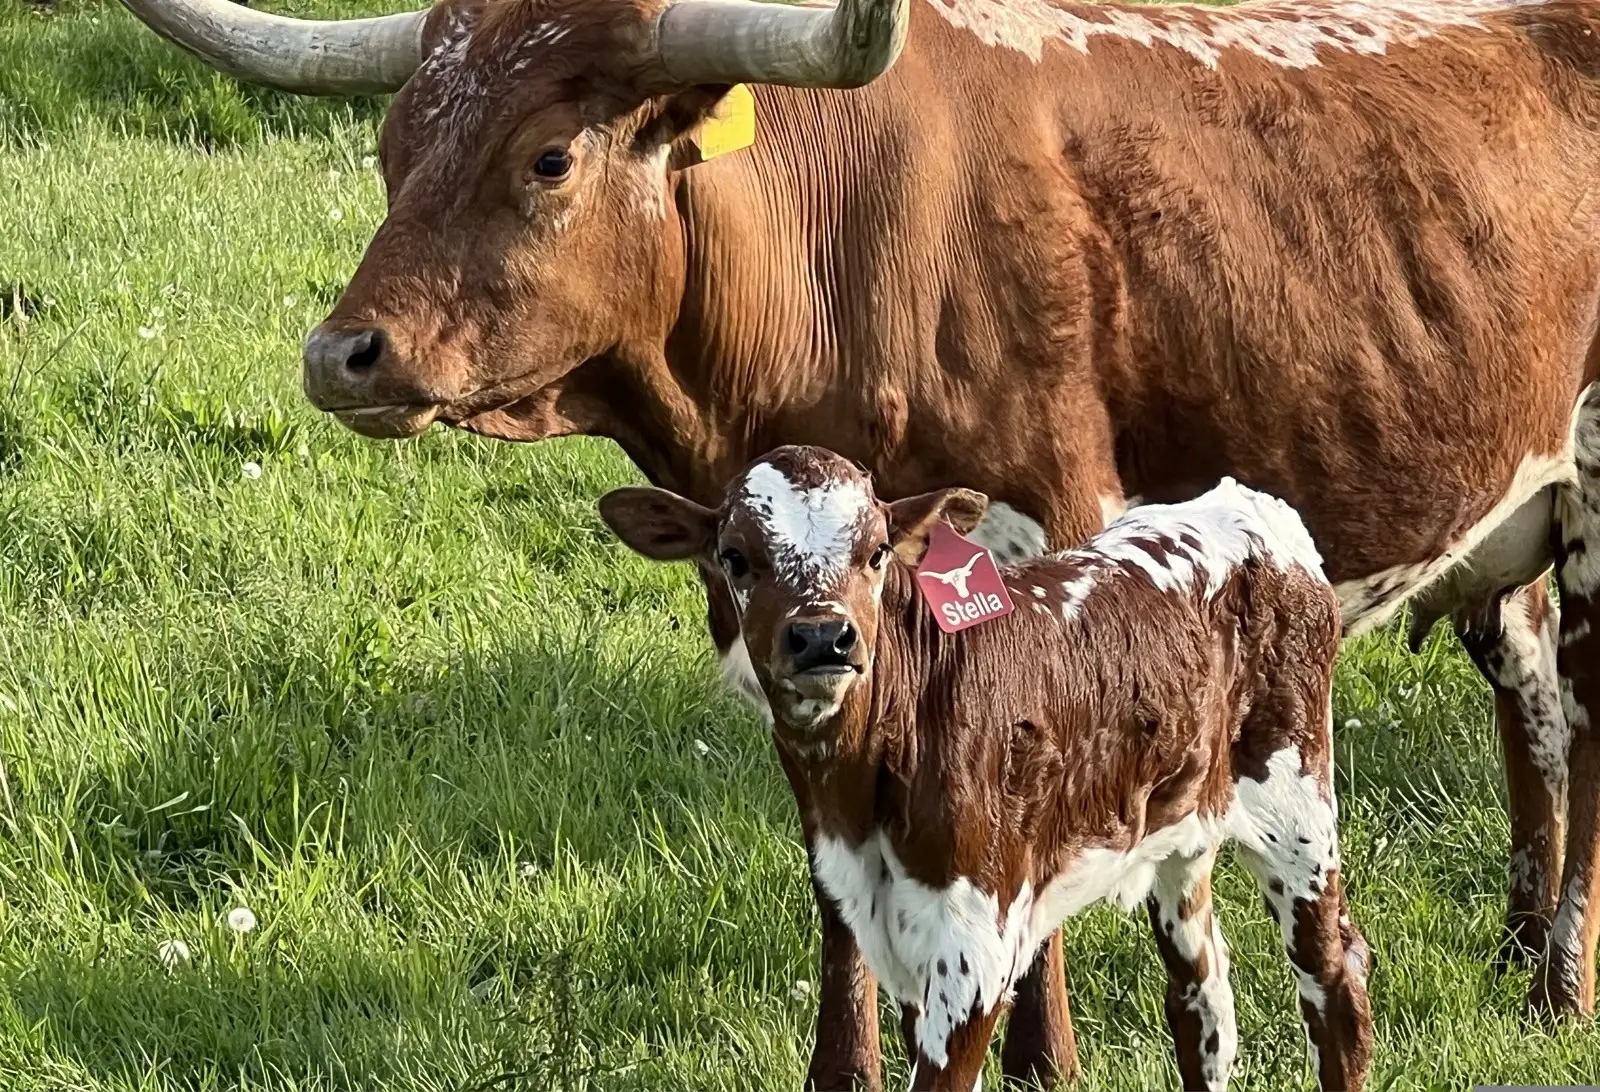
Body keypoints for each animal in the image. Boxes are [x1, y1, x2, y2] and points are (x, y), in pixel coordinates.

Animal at [600, 447, 1374, 1091]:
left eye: (877, 552)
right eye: (735, 557)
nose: (822, 637)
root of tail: (1241, 502)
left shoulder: (975, 951)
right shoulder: (874, 920)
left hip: (1298, 814)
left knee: (1335, 982)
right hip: (1180, 833)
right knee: (1201, 1000)